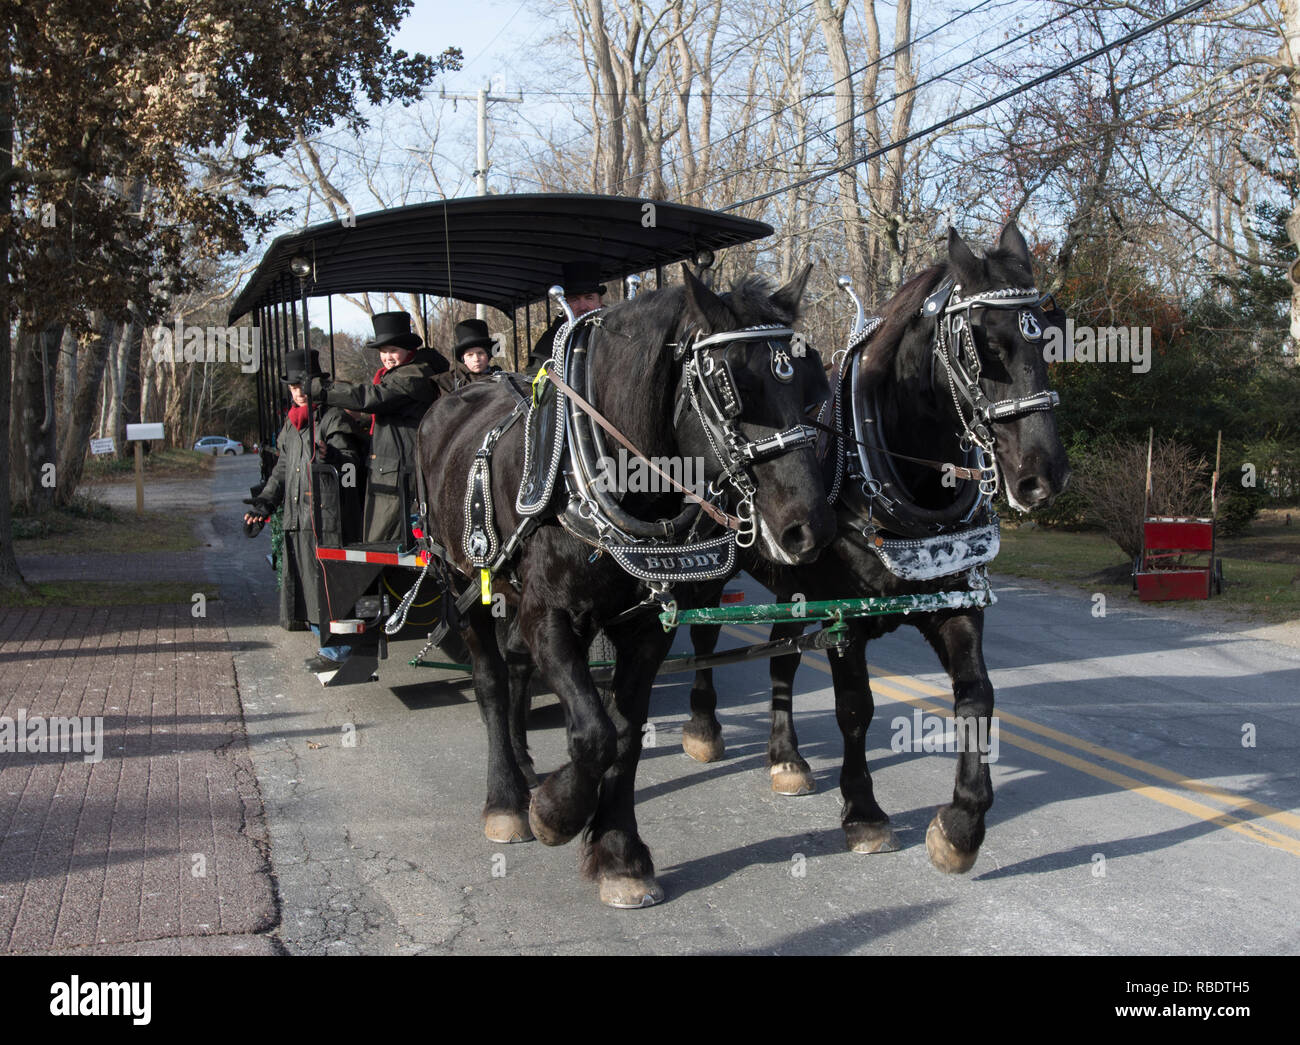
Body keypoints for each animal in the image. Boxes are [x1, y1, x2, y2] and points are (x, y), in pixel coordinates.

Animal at [421, 267, 837, 904]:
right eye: (731, 386)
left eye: (812, 386)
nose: (808, 529)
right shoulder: (550, 617)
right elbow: (593, 734)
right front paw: (557, 812)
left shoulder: (646, 628)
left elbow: (625, 734)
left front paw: (618, 853)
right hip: (462, 581)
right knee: (491, 682)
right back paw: (506, 799)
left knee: (515, 668)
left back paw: (525, 764)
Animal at [681, 226, 1066, 873]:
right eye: (984, 343)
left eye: (1048, 335)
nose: (1045, 475)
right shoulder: (844, 618)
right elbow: (854, 708)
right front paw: (864, 813)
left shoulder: (956, 602)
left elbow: (977, 698)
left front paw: (961, 826)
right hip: (711, 570)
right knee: (704, 638)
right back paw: (704, 729)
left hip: (793, 587)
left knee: (782, 657)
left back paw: (785, 757)